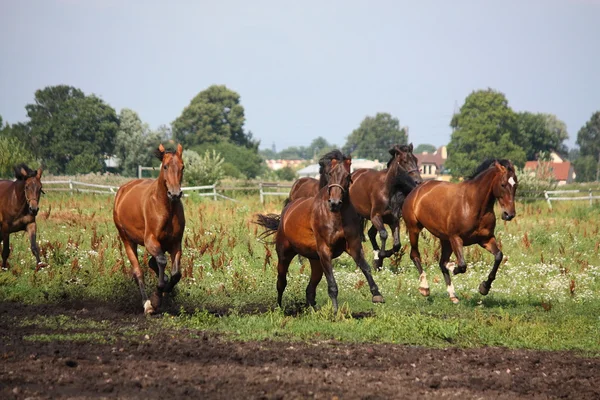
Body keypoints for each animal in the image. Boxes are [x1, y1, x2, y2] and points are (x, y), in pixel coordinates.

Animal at [113, 142, 185, 314]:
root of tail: (123, 190)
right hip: (127, 240)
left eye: (182, 167)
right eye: (165, 166)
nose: (175, 194)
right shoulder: (150, 240)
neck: (166, 207)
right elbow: (161, 261)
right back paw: (146, 303)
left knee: (153, 264)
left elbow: (175, 274)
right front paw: (156, 300)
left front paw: (167, 292)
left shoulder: (175, 243)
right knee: (138, 271)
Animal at [255, 155, 382, 312]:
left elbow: (365, 267)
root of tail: (287, 210)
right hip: (285, 255)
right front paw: (335, 311)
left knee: (310, 289)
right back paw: (279, 308)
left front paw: (377, 295)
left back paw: (313, 310)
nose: (334, 203)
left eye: (347, 176)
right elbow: (332, 285)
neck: (336, 216)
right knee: (281, 282)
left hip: (316, 262)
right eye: (330, 174)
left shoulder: (353, 245)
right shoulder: (325, 251)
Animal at [404, 159, 520, 304]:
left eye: (516, 185)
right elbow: (462, 265)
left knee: (441, 262)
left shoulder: (486, 239)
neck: (472, 204)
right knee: (415, 255)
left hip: (445, 240)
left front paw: (484, 287)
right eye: (503, 184)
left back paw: (453, 295)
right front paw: (454, 267)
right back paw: (424, 288)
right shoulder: (456, 238)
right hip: (414, 229)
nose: (509, 214)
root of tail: (417, 190)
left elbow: (499, 256)